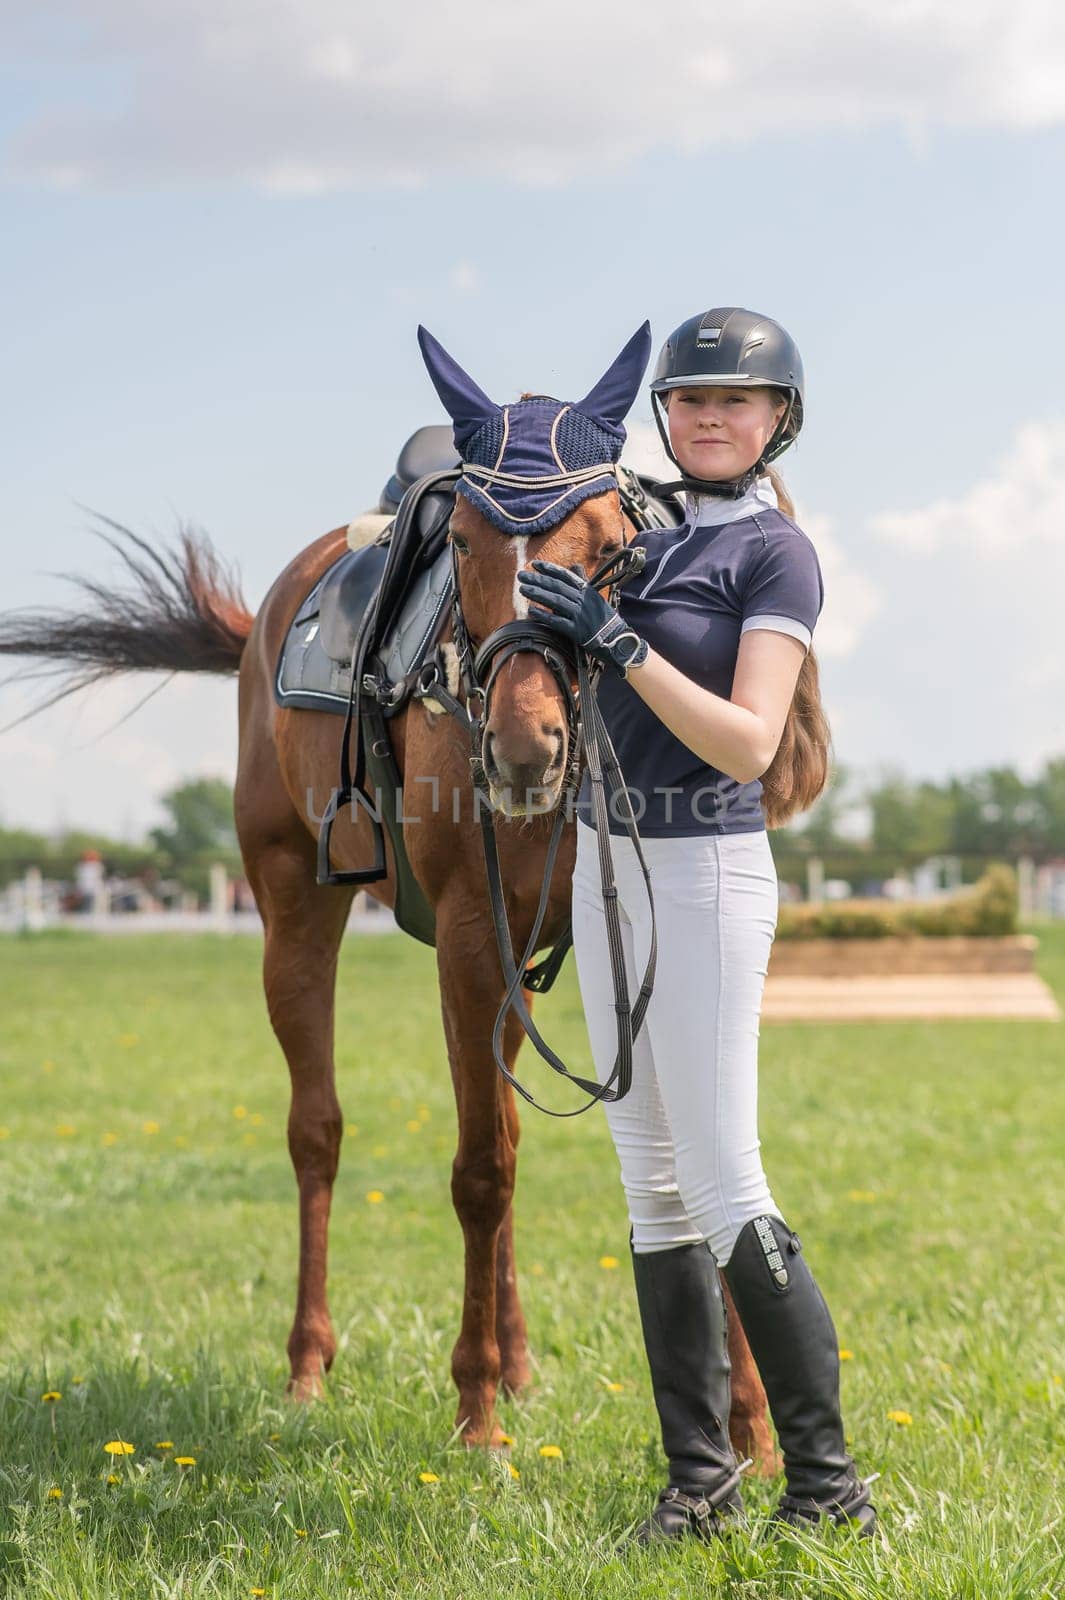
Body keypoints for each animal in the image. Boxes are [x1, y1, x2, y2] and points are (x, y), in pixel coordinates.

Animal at [0, 344, 770, 1465]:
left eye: (612, 547)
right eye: (464, 541)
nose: (524, 747)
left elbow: (692, 1153)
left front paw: (755, 1427)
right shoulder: (467, 937)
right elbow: (480, 1168)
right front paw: (477, 1418)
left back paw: (521, 1359)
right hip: (292, 908)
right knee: (316, 1129)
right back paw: (311, 1367)